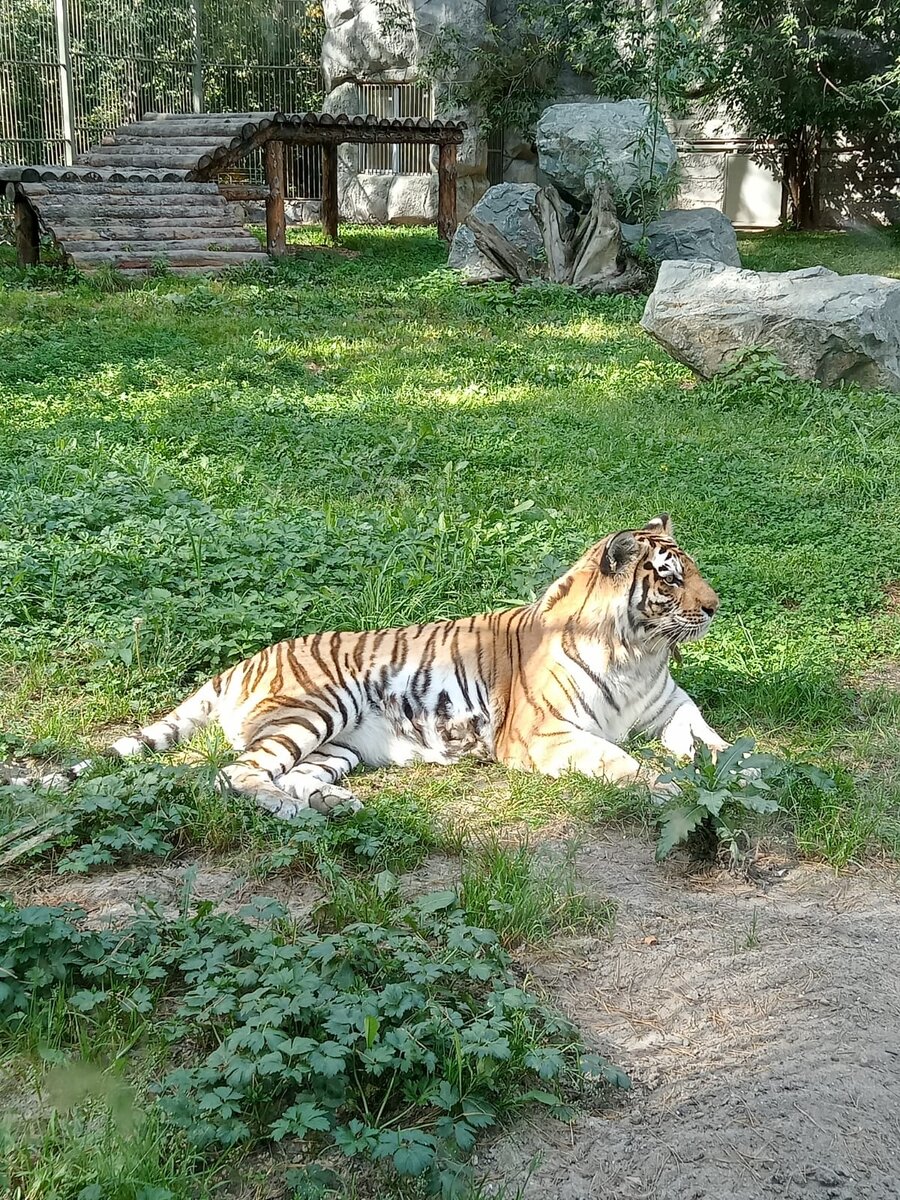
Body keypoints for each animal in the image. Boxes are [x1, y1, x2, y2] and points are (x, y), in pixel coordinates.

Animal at [49, 516, 729, 816]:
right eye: (670, 578)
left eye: (692, 569)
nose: (715, 606)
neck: (637, 652)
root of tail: (241, 663)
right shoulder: (542, 733)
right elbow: (619, 760)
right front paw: (667, 783)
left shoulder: (671, 706)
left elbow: (711, 739)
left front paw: (738, 770)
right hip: (317, 709)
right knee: (235, 775)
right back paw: (298, 811)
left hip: (337, 746)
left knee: (287, 775)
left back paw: (335, 804)